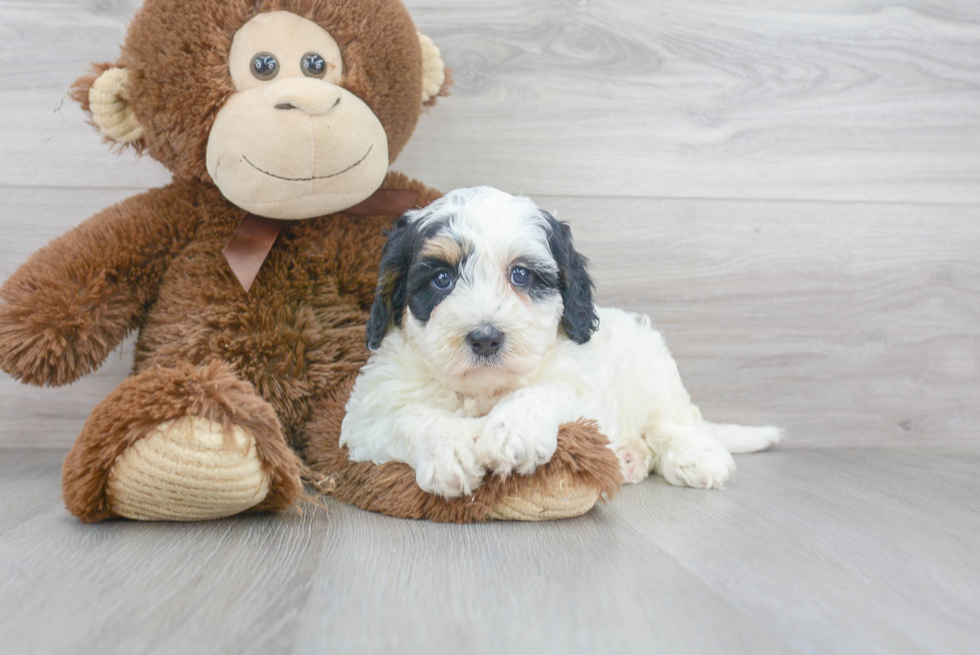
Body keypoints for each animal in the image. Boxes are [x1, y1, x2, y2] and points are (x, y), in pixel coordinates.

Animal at [338, 184, 780, 498]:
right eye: (442, 279)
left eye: (520, 275)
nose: (485, 338)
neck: (484, 392)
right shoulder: (365, 419)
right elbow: (409, 416)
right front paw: (450, 450)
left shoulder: (584, 390)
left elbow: (546, 392)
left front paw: (512, 431)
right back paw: (629, 460)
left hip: (655, 370)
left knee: (677, 422)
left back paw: (697, 457)